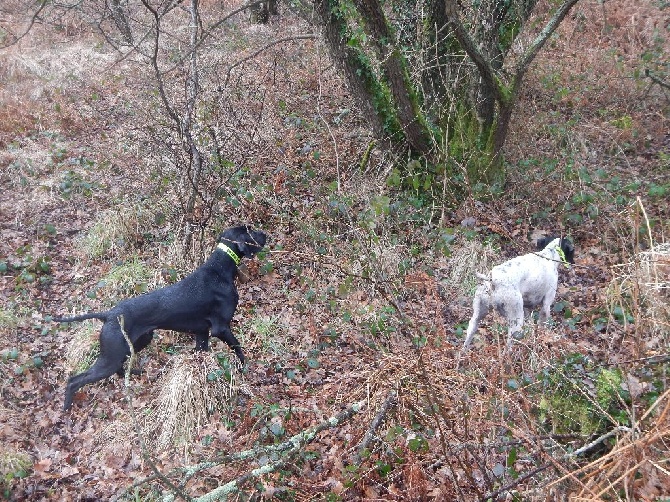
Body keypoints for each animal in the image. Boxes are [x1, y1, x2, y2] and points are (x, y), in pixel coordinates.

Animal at [53, 226, 268, 410]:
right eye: (250, 230)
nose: (265, 234)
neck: (219, 269)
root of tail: (108, 315)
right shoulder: (221, 327)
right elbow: (238, 349)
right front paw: (246, 370)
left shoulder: (202, 333)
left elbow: (201, 355)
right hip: (112, 355)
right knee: (75, 380)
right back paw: (67, 407)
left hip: (136, 343)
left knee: (120, 368)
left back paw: (135, 373)